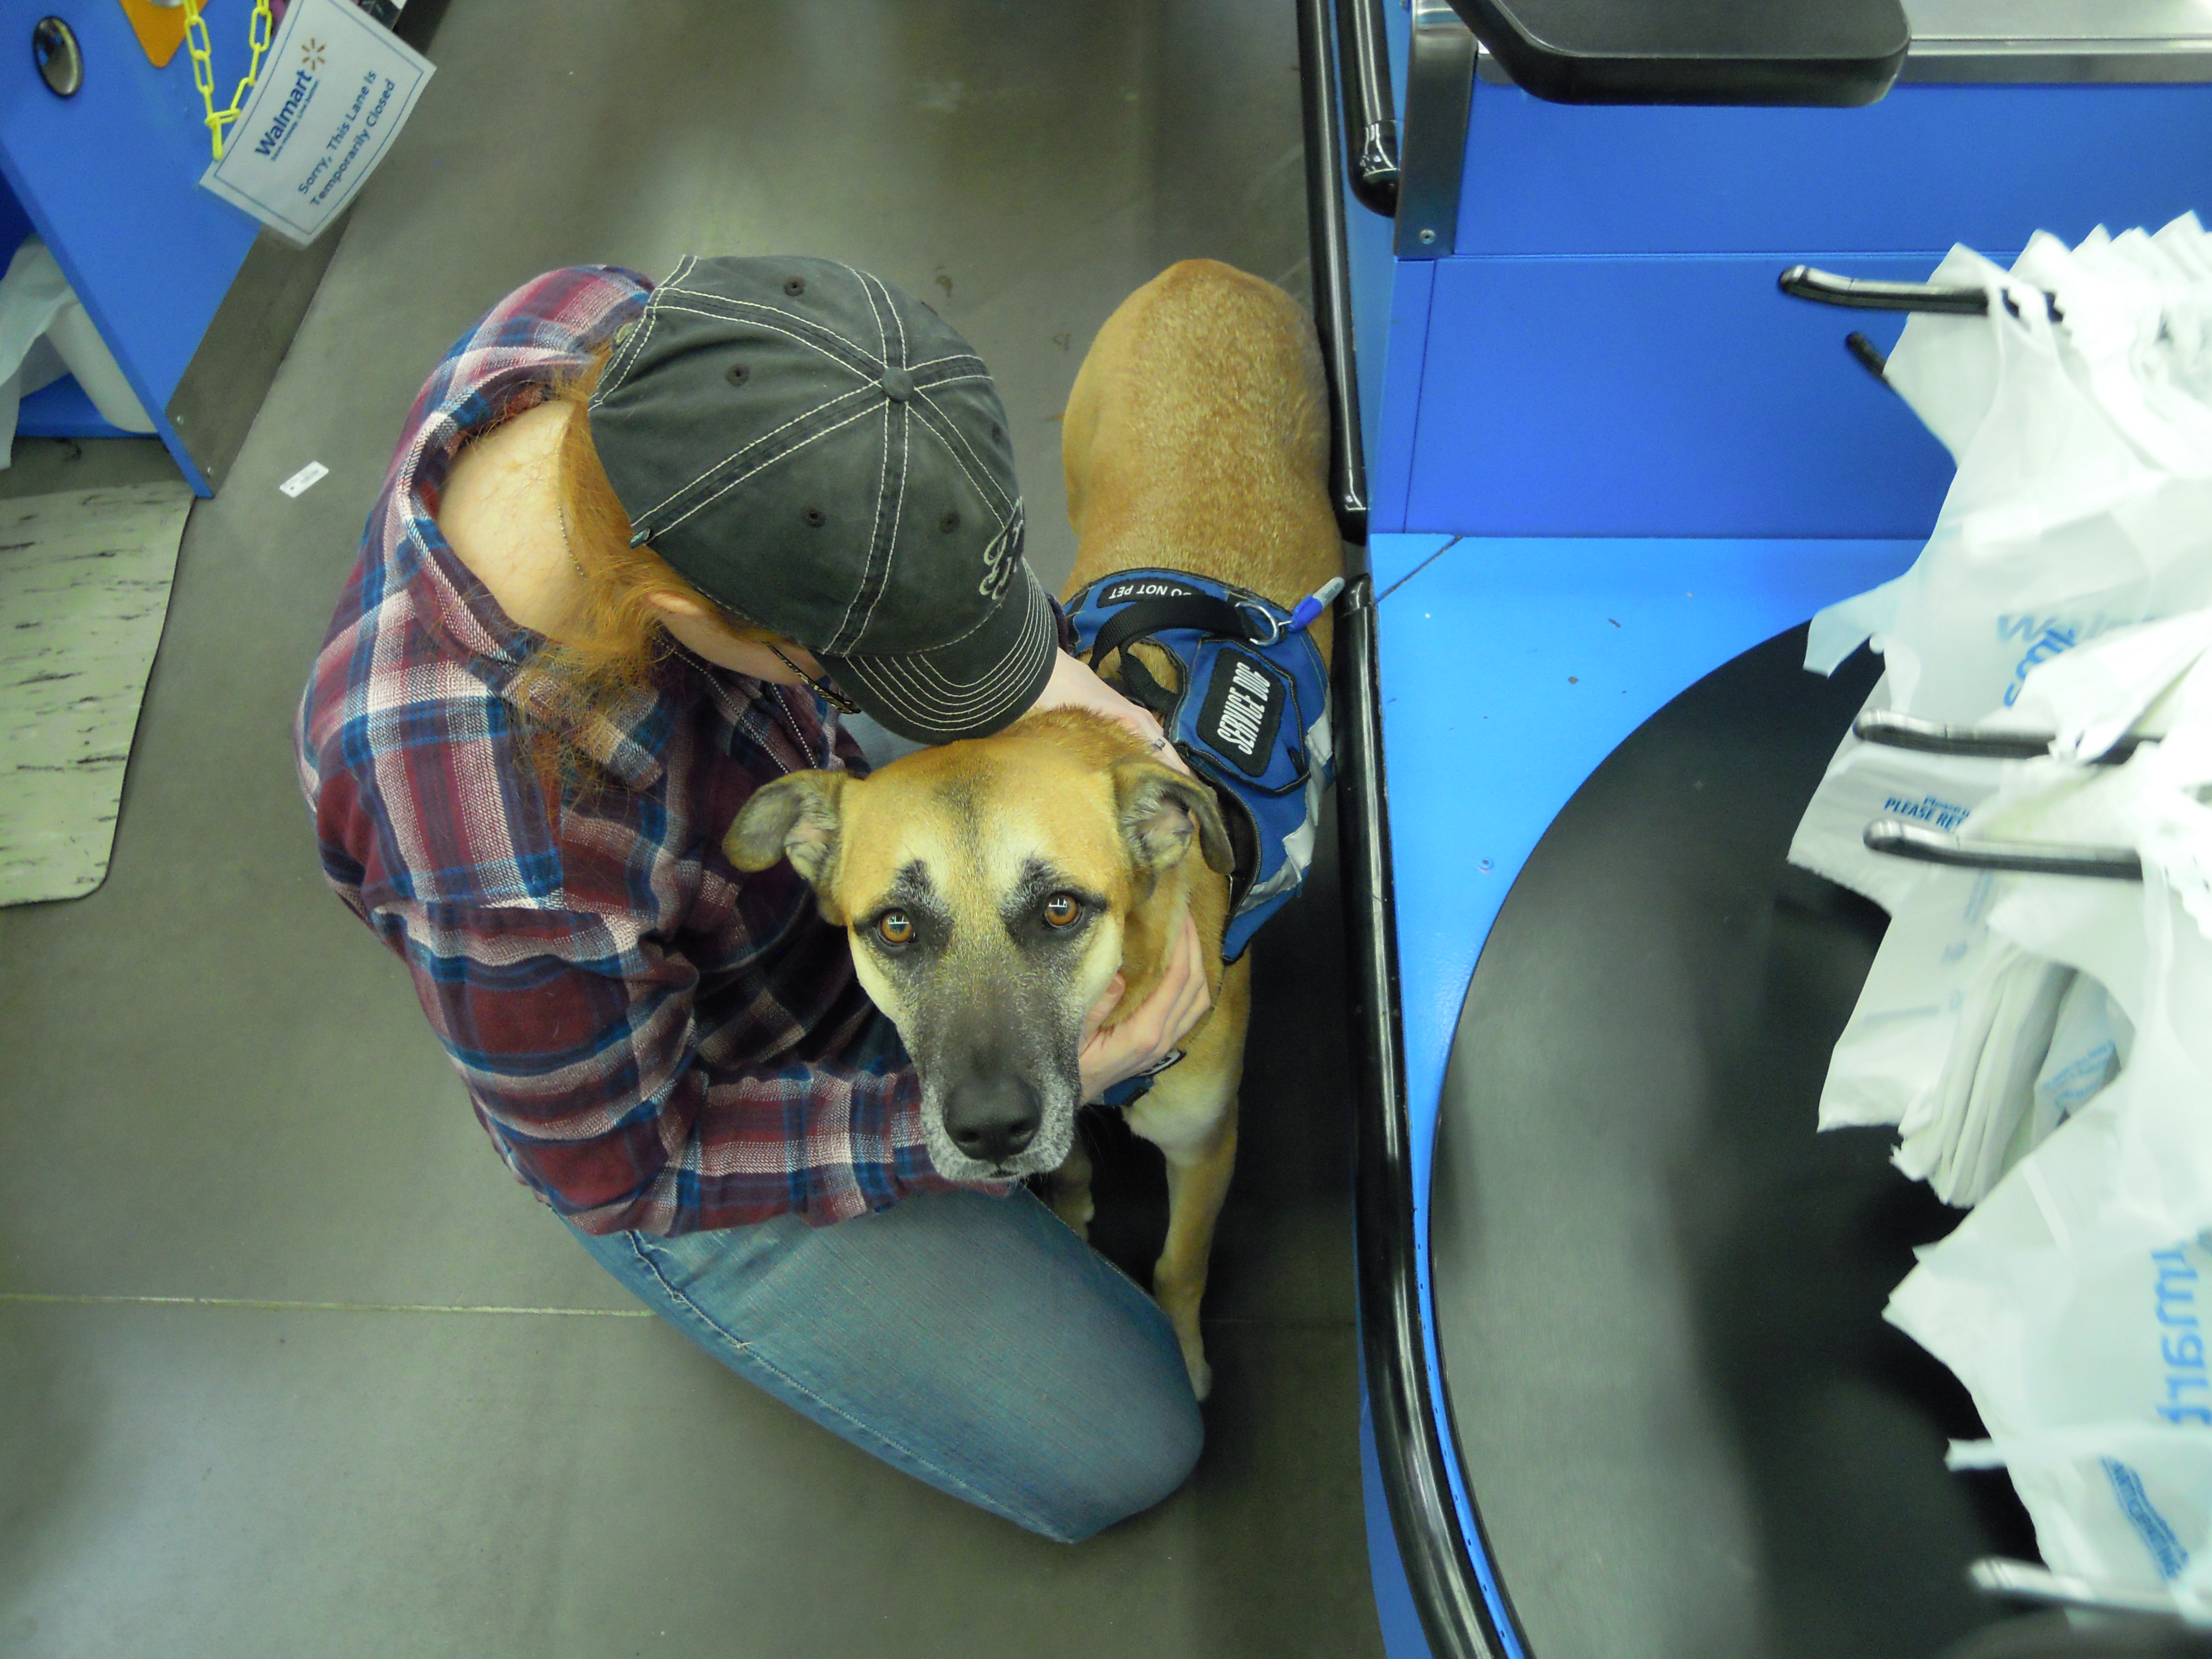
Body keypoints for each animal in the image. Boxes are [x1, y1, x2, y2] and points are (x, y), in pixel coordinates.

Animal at [734, 263, 1336, 1407]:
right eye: (894, 927)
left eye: (1062, 908)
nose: (987, 1130)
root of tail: (1203, 272)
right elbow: (1076, 1168)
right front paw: (1070, 1199)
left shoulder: (1208, 1144)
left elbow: (1179, 1265)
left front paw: (1184, 1356)